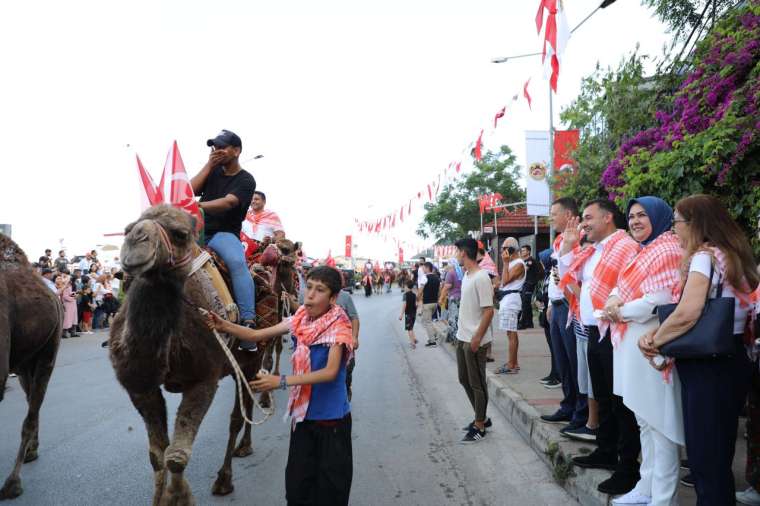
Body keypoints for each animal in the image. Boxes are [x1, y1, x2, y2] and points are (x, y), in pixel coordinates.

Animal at [111, 204, 296, 504]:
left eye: (180, 234)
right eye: (127, 228)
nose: (136, 241)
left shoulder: (204, 380)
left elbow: (176, 457)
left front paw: (178, 497)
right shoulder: (141, 389)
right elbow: (158, 455)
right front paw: (162, 497)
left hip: (249, 357)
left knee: (238, 415)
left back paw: (225, 477)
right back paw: (244, 447)